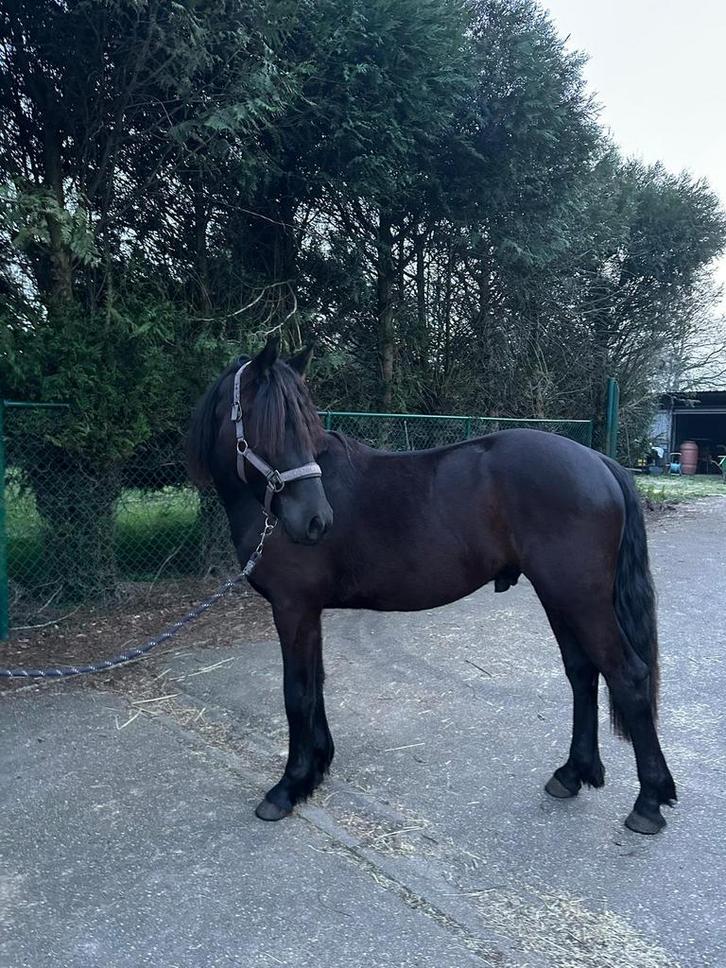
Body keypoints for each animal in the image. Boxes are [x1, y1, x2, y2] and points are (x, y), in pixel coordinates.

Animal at [187, 337, 676, 835]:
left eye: (303, 425)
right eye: (271, 425)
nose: (316, 521)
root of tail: (597, 460)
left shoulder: (293, 608)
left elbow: (297, 692)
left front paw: (289, 787)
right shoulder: (309, 612)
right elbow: (316, 685)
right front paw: (317, 768)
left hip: (580, 599)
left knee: (628, 675)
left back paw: (649, 802)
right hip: (561, 598)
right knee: (583, 672)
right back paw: (573, 773)